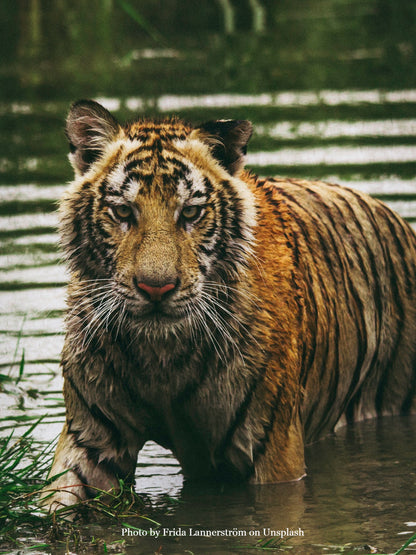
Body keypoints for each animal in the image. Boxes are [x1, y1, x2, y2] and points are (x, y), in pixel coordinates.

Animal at [43, 101, 416, 512]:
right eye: (123, 212)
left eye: (190, 213)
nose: (156, 288)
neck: (160, 356)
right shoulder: (91, 438)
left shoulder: (271, 451)